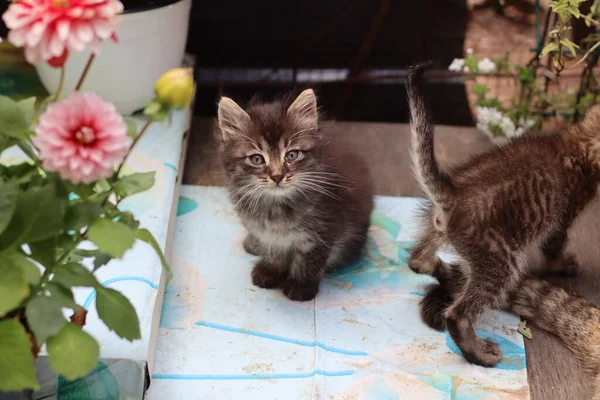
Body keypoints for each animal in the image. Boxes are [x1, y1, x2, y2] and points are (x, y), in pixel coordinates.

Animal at [216, 90, 376, 302]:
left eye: (291, 155)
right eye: (257, 159)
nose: (277, 176)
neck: (276, 207)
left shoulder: (324, 230)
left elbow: (309, 261)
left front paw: (300, 286)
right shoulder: (267, 232)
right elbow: (273, 250)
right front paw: (271, 270)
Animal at [410, 63, 600, 396]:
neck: (578, 141)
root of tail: (453, 196)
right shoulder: (562, 216)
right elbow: (554, 248)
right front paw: (565, 264)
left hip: (436, 231)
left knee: (417, 261)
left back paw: (436, 265)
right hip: (502, 260)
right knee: (458, 314)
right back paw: (480, 353)